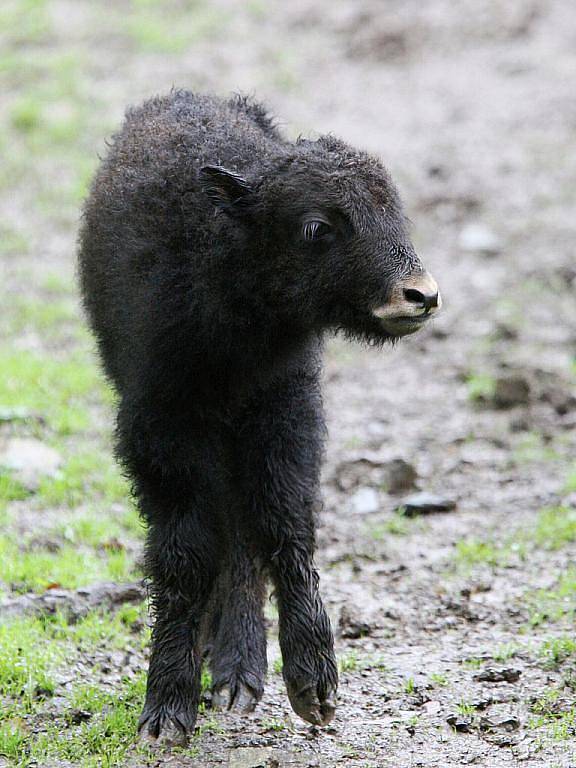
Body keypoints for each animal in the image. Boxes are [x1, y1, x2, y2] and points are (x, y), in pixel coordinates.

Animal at [77, 90, 440, 744]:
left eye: (394, 211)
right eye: (317, 227)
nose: (419, 295)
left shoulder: (284, 415)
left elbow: (282, 526)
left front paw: (314, 687)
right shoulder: (163, 431)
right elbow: (185, 553)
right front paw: (166, 710)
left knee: (245, 533)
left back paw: (238, 675)